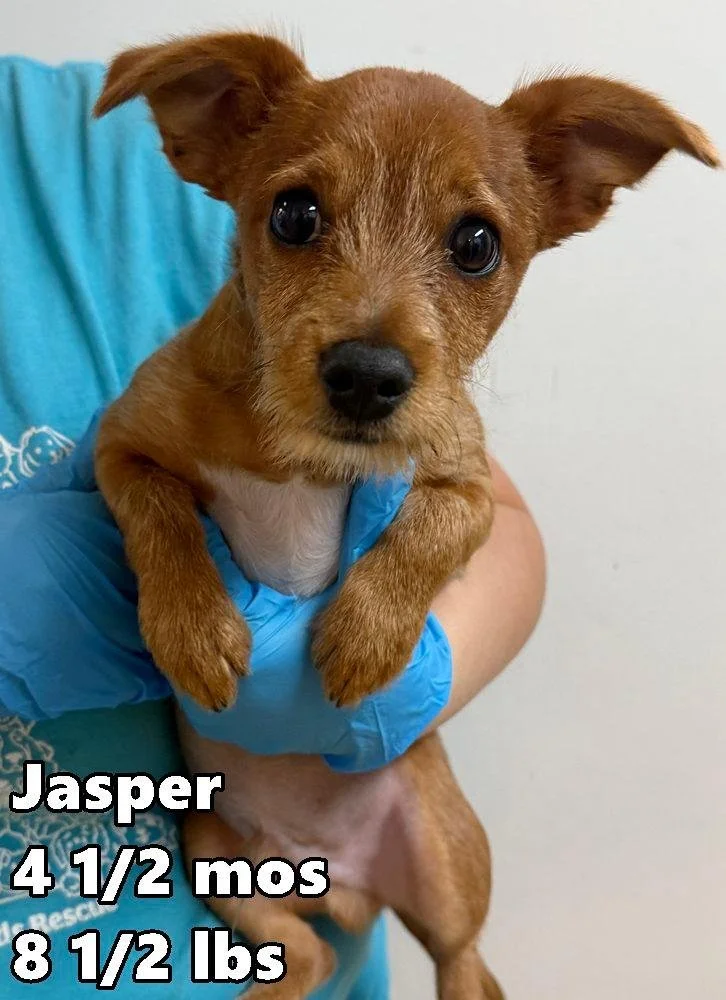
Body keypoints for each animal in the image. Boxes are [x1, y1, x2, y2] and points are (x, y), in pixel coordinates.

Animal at [92, 32, 718, 999]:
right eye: (294, 216)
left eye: (476, 244)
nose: (367, 375)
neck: (303, 456)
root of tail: (339, 880)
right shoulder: (120, 443)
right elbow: (159, 515)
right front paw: (192, 628)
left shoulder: (469, 481)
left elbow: (425, 532)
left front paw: (367, 635)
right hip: (213, 852)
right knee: (308, 950)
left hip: (446, 861)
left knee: (466, 965)